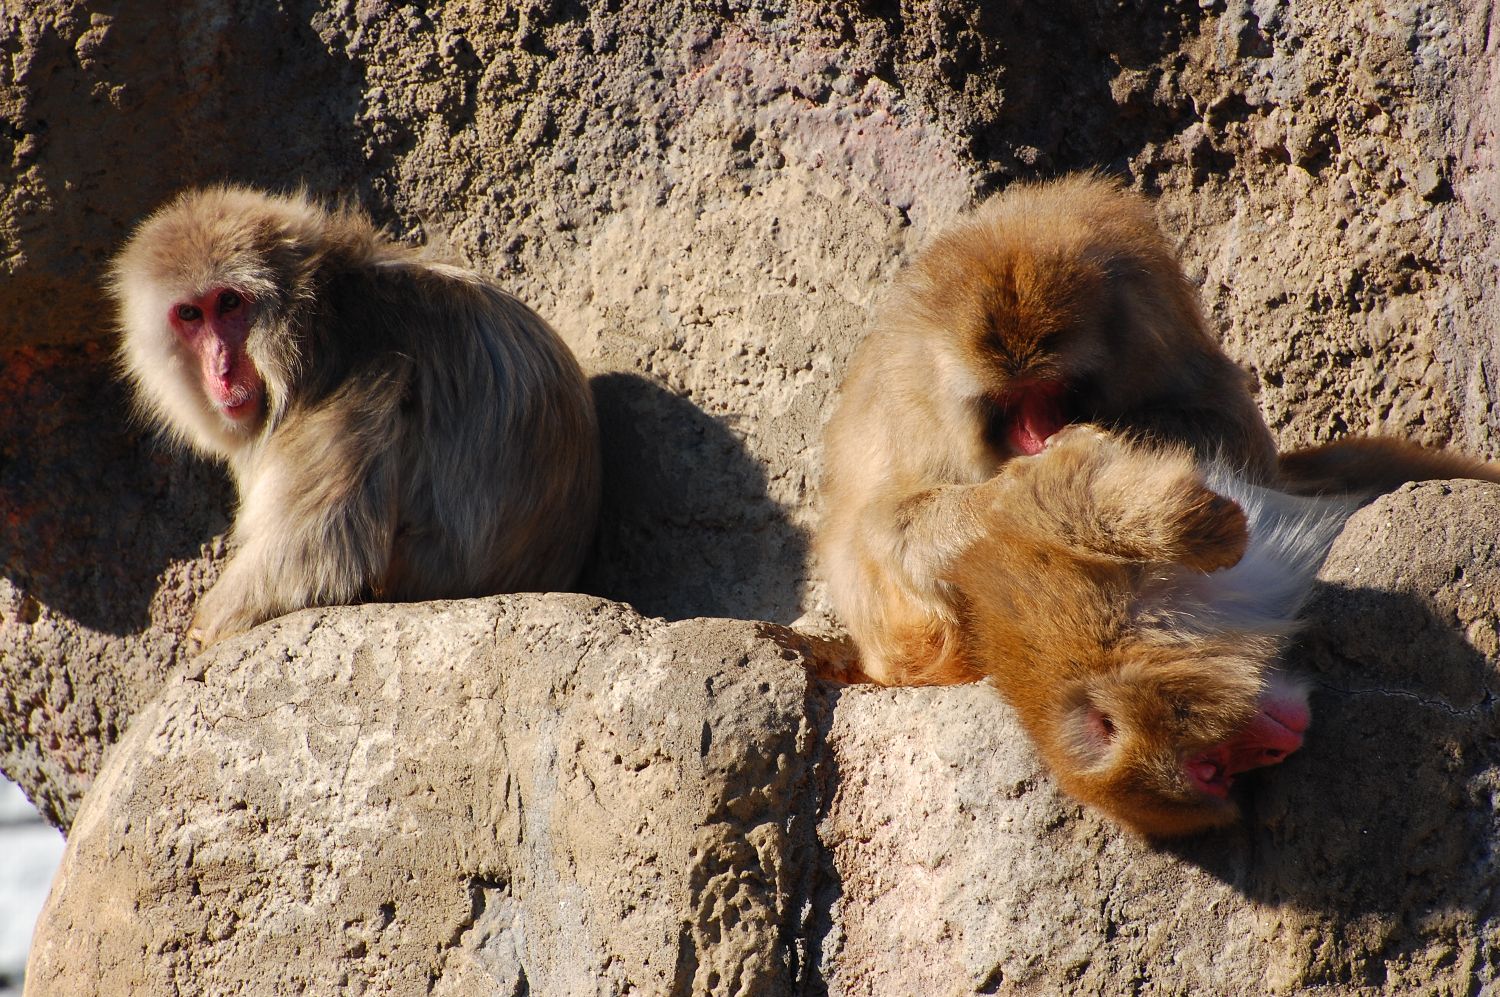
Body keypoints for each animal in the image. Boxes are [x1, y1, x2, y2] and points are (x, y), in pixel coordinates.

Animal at [112, 186, 603, 644]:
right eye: (190, 314)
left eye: (230, 303)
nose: (221, 369)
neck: (317, 321)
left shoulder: (358, 371)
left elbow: (320, 555)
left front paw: (201, 637)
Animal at [822, 174, 1500, 833]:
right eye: (1009, 403)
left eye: (1052, 389)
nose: (1038, 437)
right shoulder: (911, 401)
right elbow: (884, 539)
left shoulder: (1153, 314)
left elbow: (1229, 429)